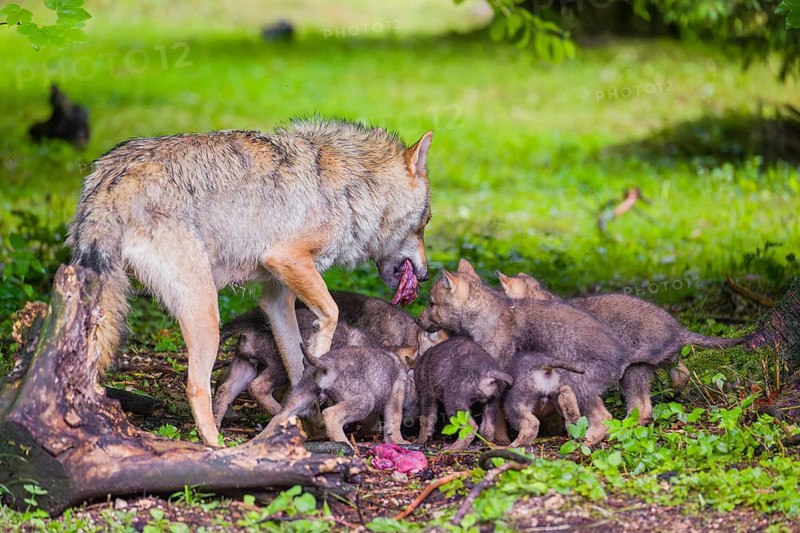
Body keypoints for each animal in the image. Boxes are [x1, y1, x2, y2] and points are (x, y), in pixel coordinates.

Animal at [67, 118, 433, 445]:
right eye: (426, 223)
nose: (427, 274)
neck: (353, 184)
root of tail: (111, 178)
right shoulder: (286, 258)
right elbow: (330, 316)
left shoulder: (277, 298)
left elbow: (297, 365)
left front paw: (305, 417)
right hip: (205, 315)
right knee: (197, 387)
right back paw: (218, 449)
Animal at [417, 260, 639, 445]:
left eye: (431, 303)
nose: (417, 320)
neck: (485, 314)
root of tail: (624, 355)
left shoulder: (499, 376)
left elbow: (496, 416)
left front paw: (499, 440)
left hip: (577, 382)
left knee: (603, 418)